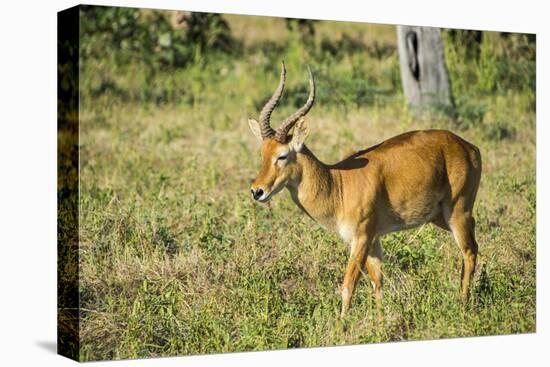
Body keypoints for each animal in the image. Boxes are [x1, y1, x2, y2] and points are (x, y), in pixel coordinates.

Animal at [249, 63, 484, 320]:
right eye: (262, 154)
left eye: (282, 155)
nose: (257, 191)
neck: (338, 185)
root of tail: (470, 147)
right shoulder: (374, 240)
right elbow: (377, 282)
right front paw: (380, 323)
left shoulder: (360, 239)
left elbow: (348, 286)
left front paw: (341, 326)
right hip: (440, 217)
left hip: (458, 211)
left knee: (470, 251)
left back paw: (463, 307)